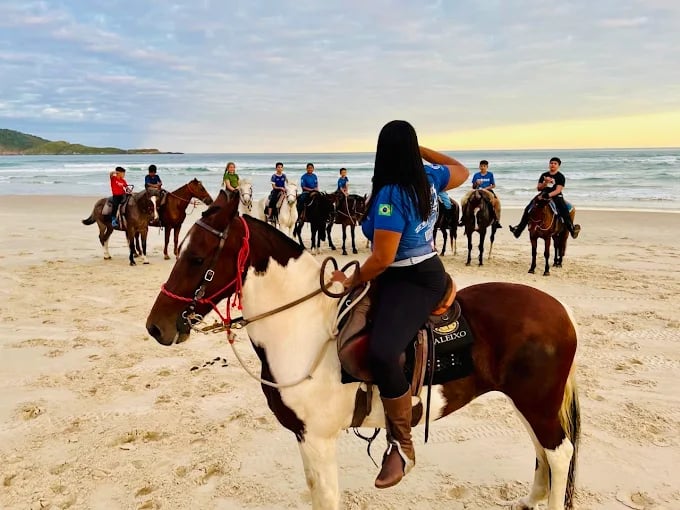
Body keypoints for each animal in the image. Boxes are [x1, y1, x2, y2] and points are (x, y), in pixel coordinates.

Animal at [146, 189, 581, 510]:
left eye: (197, 258)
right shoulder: (305, 439)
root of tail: (560, 311)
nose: (155, 326)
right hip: (527, 402)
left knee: (559, 454)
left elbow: (327, 499)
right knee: (543, 450)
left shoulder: (318, 439)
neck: (304, 326)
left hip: (537, 403)